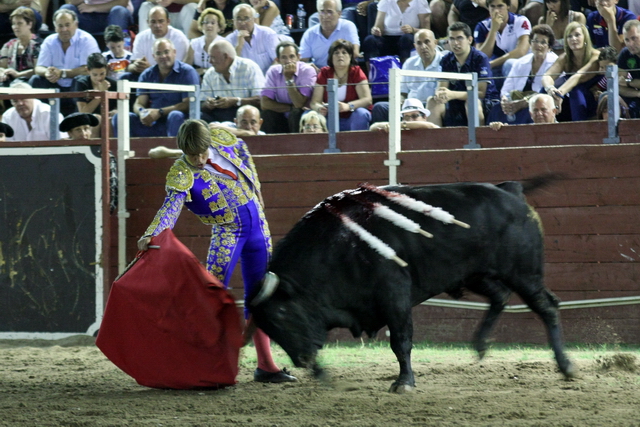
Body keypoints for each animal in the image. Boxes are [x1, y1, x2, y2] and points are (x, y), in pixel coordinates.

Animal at [249, 179, 576, 392]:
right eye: (266, 325)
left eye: (281, 313)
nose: (301, 360)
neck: (338, 248)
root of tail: (510, 191)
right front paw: (321, 374)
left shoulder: (395, 296)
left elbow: (400, 340)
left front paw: (404, 382)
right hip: (475, 274)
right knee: (500, 296)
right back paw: (480, 346)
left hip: (523, 273)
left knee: (546, 306)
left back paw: (566, 367)